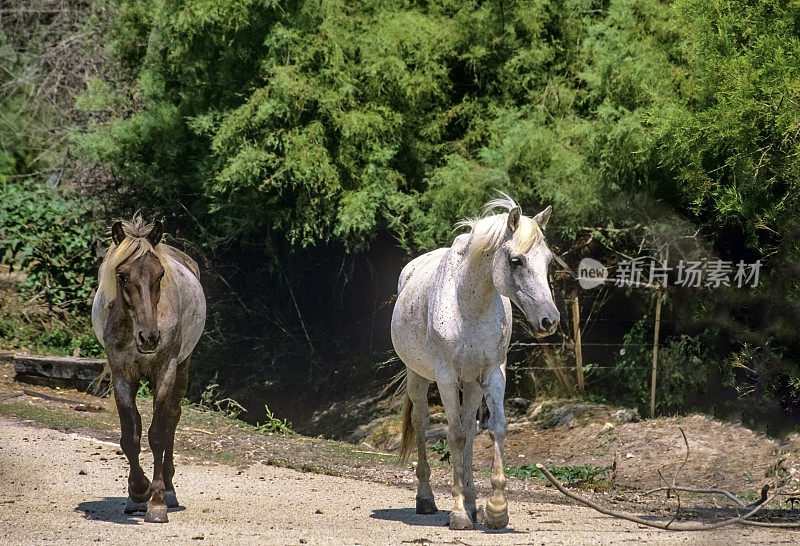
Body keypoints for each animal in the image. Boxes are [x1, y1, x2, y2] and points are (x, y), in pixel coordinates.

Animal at [92, 218, 205, 524]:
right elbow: (130, 437)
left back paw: (169, 490)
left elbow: (157, 436)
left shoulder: (164, 374)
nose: (150, 338)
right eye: (122, 276)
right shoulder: (121, 376)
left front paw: (156, 502)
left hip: (183, 367)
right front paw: (137, 491)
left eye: (160, 274)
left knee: (172, 421)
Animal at [390, 194, 560, 528]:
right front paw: (457, 512)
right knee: (422, 421)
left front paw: (495, 508)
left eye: (547, 260)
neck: (468, 304)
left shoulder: (492, 373)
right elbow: (454, 435)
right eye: (516, 261)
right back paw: (427, 499)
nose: (550, 320)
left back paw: (472, 503)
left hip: (471, 384)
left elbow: (495, 428)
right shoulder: (446, 377)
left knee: (470, 428)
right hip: (419, 376)